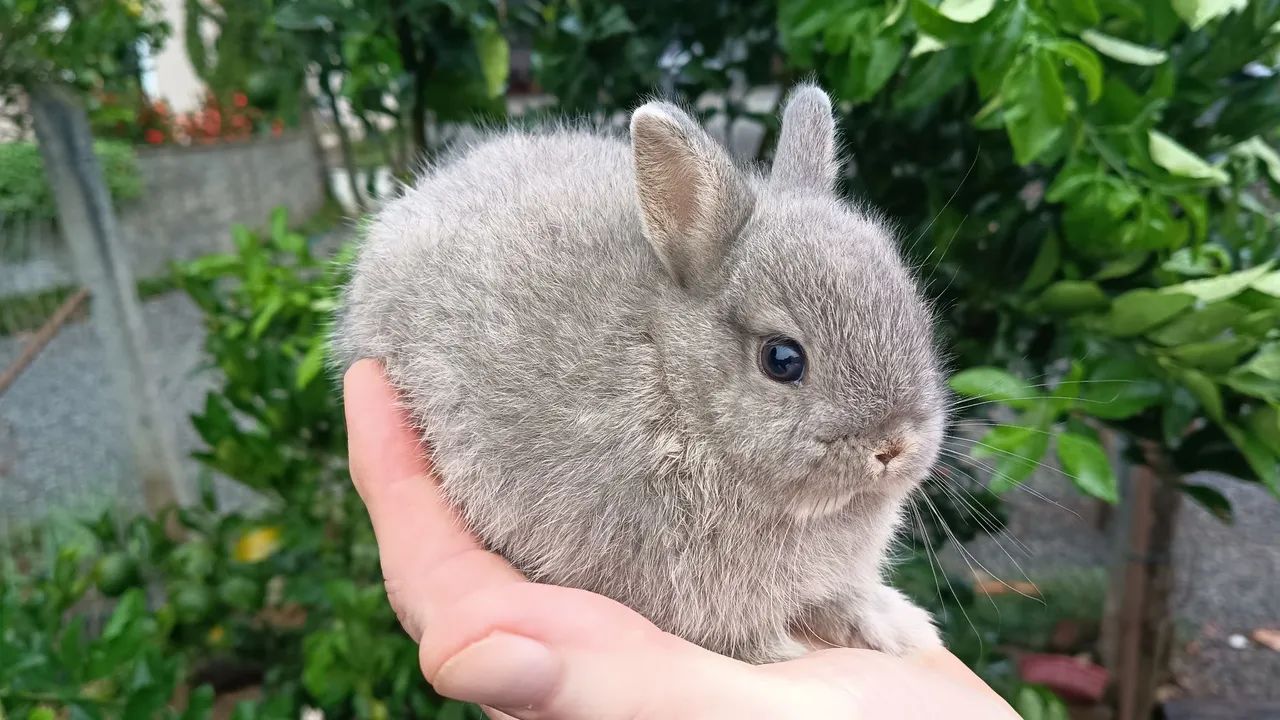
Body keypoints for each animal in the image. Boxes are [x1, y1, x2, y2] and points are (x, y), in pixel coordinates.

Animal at [333, 84, 946, 664]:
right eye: (782, 359)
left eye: (917, 316)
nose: (892, 446)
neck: (674, 381)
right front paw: (786, 651)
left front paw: (899, 626)